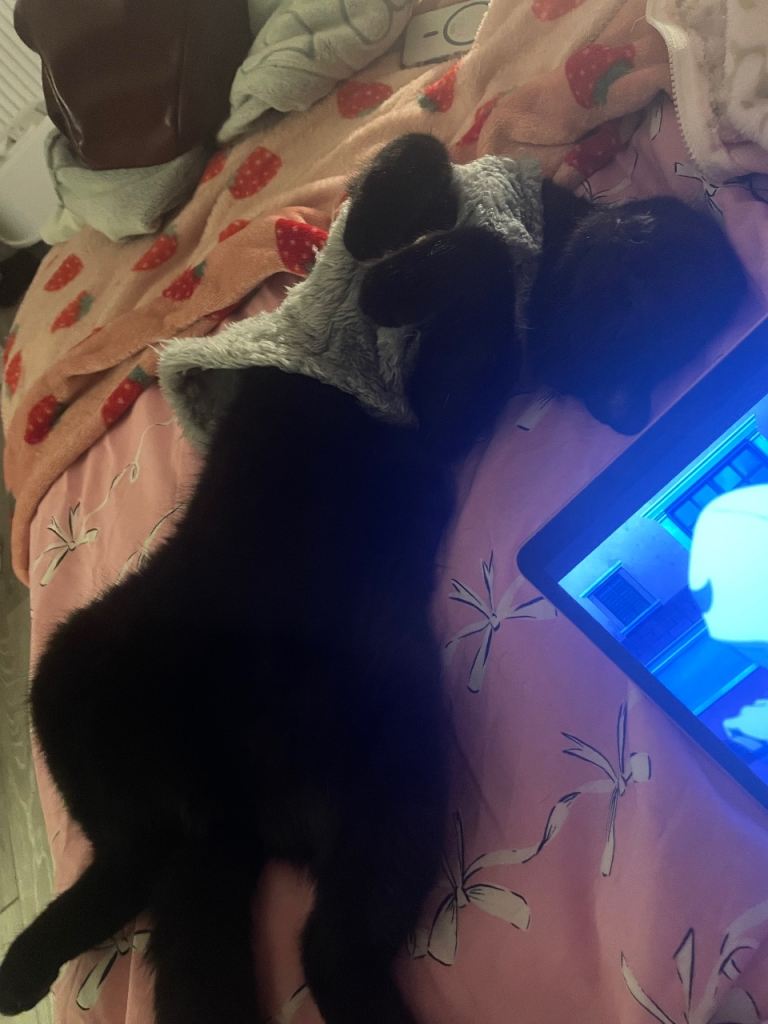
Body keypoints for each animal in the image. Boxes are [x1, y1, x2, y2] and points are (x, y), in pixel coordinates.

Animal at [0, 133, 747, 1024]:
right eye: (642, 254)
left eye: (641, 316)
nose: (616, 249)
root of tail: (225, 806)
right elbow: (414, 162)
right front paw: (383, 221)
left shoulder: (441, 403)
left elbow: (478, 253)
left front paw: (393, 278)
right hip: (74, 670)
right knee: (132, 860)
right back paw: (24, 966)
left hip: (399, 772)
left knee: (318, 945)